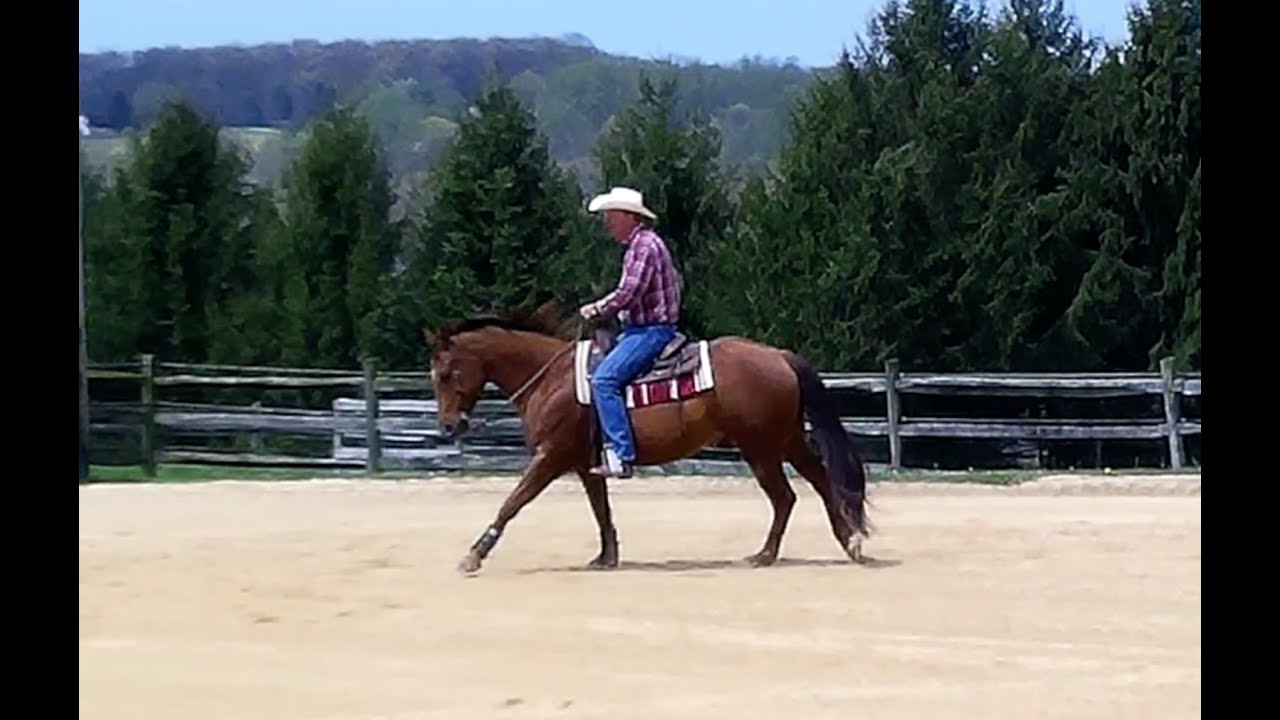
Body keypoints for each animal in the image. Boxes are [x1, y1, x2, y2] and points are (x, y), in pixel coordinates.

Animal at [424, 301, 871, 575]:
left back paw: (765, 555)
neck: (552, 378)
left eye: (446, 373)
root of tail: (778, 355)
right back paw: (849, 542)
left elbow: (512, 502)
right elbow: (601, 510)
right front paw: (606, 557)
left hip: (761, 449)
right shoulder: (585, 463)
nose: (449, 427)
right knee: (820, 482)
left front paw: (473, 555)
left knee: (785, 497)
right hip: (786, 440)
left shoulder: (551, 457)